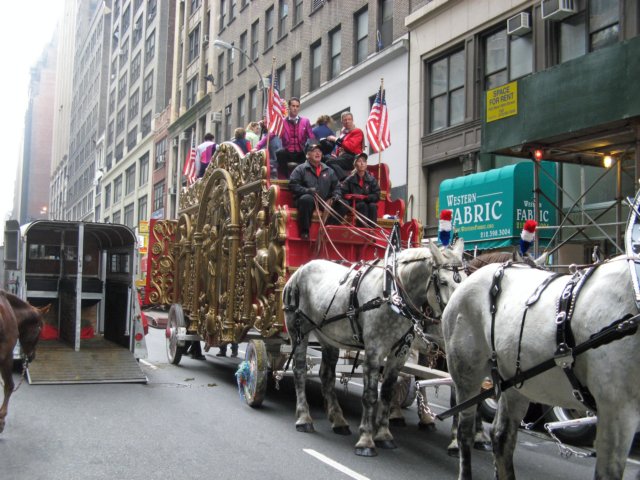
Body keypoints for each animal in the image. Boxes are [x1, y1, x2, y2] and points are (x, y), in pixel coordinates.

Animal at [284, 242, 464, 456]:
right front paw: (366, 440)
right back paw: (304, 418)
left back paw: (338, 421)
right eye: (443, 281)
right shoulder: (374, 350)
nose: (455, 315)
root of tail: (302, 268)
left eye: (464, 279)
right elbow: (370, 395)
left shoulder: (400, 352)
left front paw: (384, 435)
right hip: (299, 330)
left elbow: (386, 392)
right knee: (300, 370)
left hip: (328, 335)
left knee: (326, 375)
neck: (392, 295)